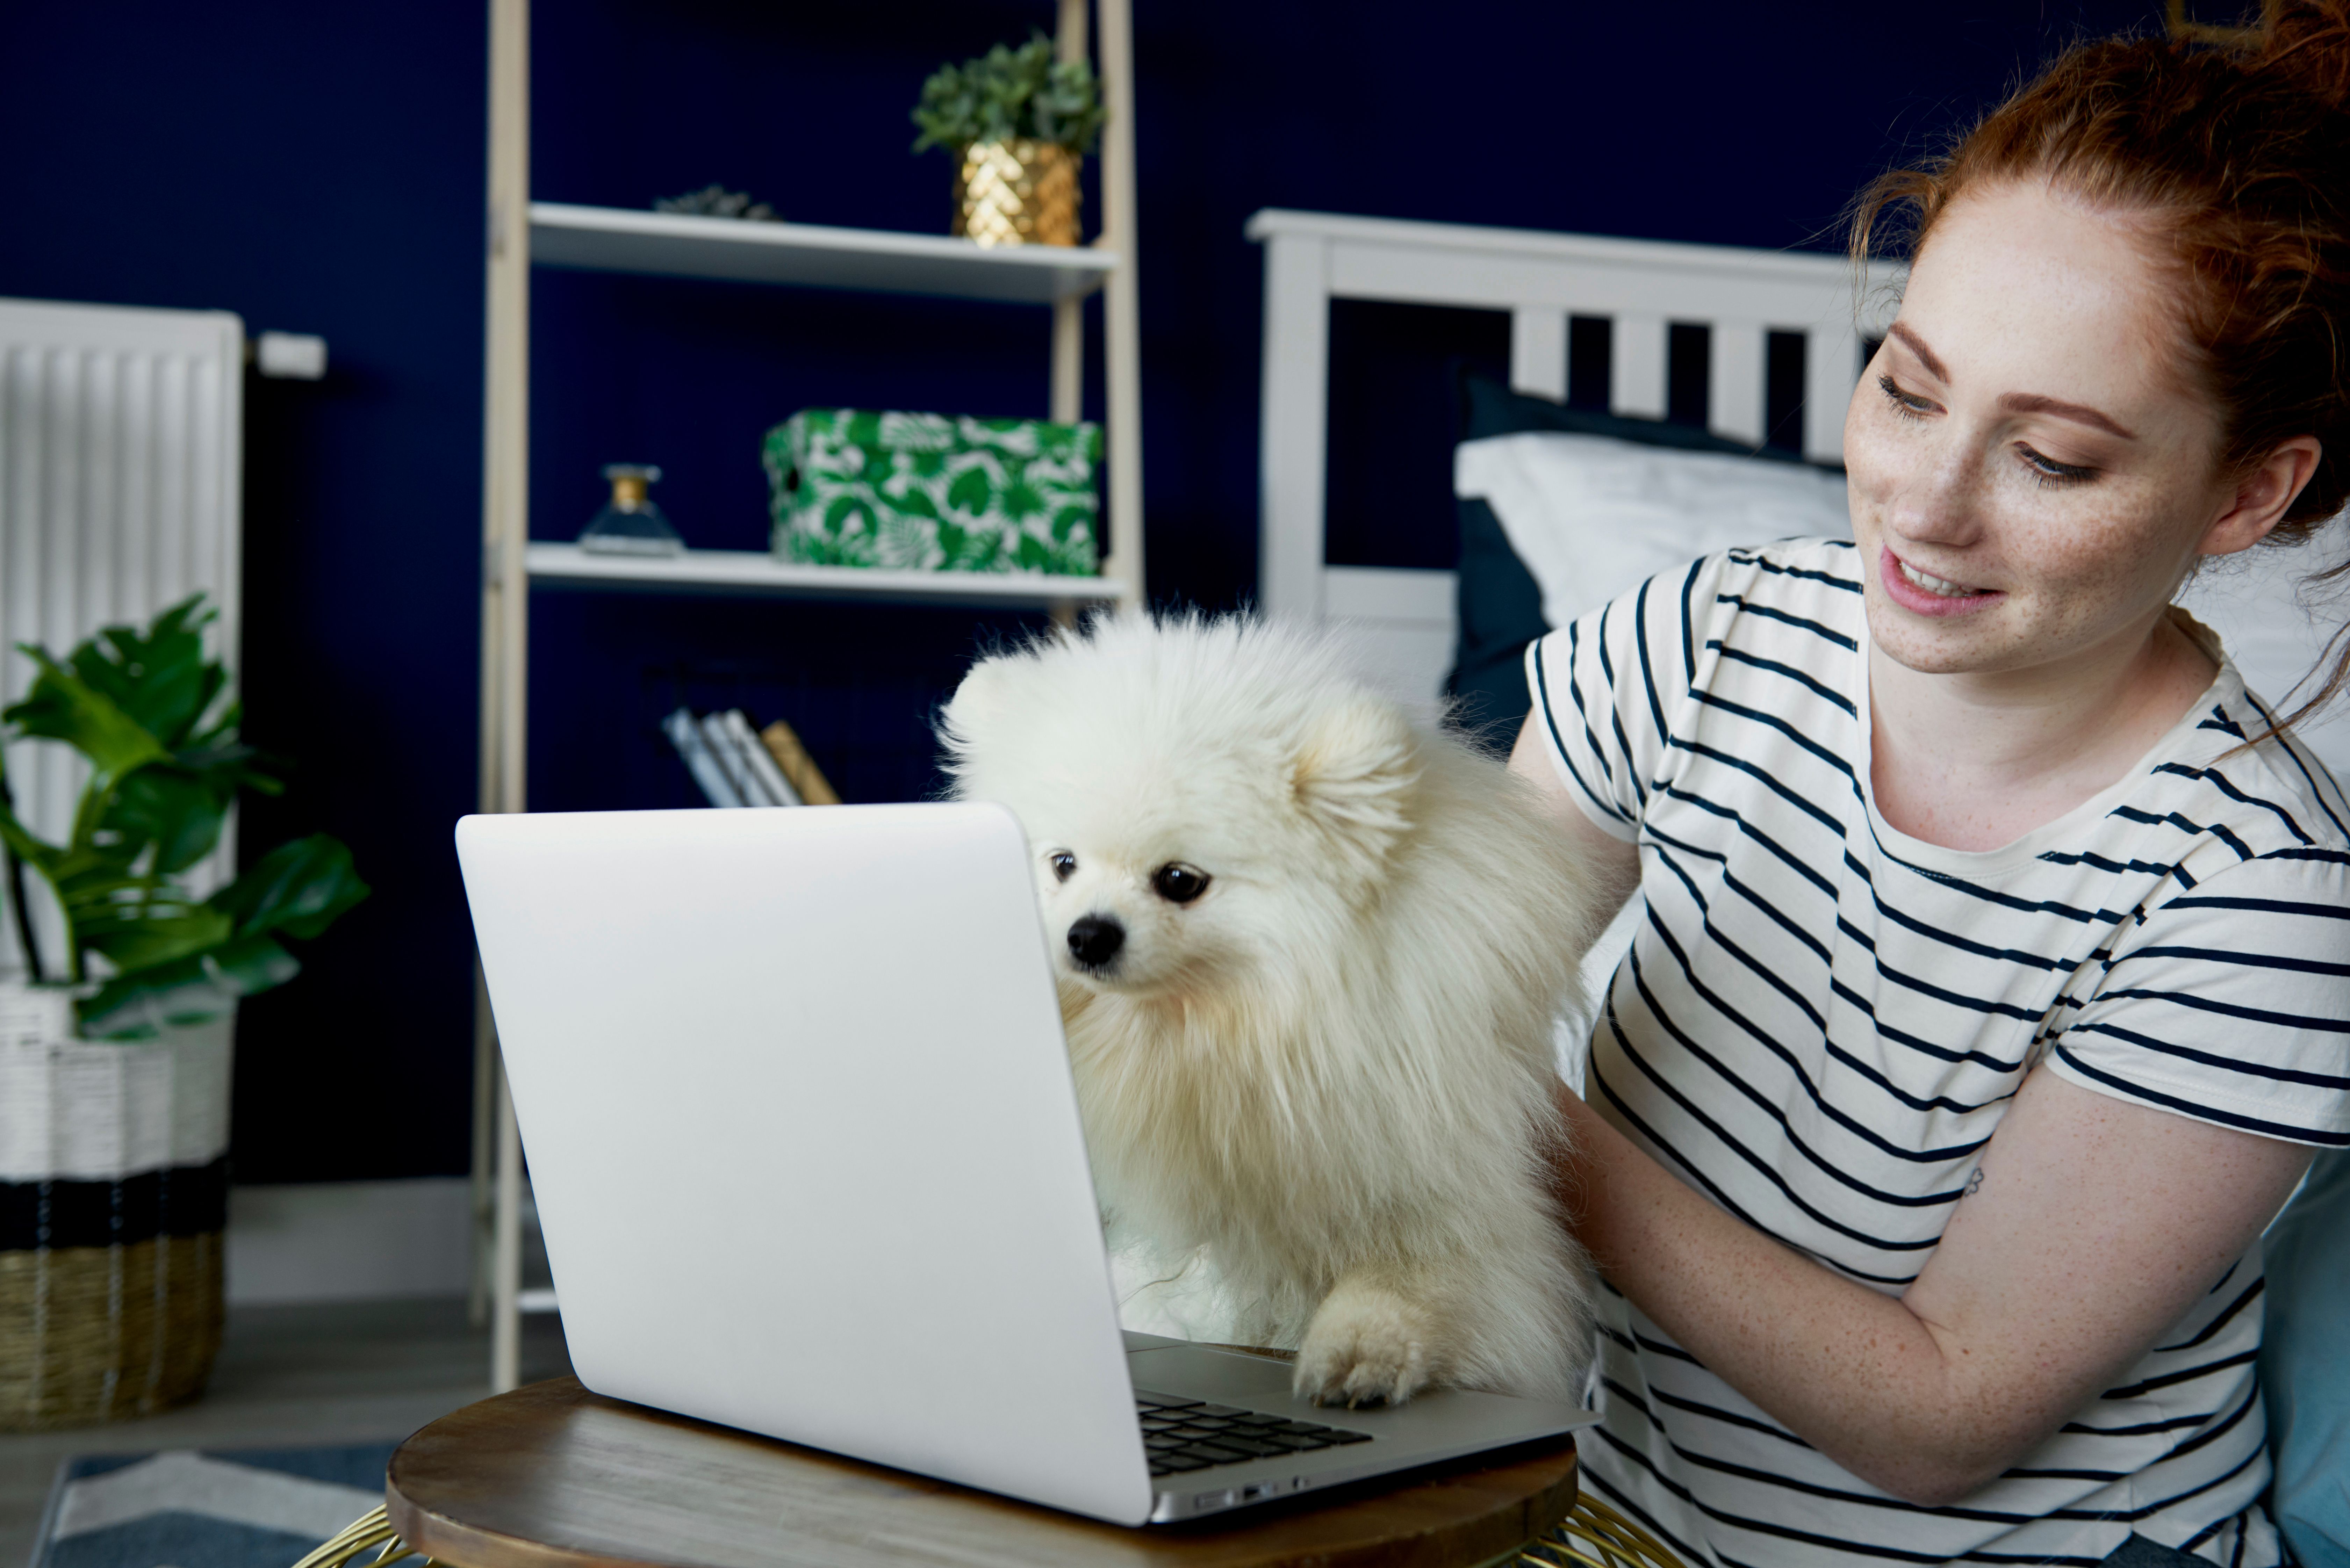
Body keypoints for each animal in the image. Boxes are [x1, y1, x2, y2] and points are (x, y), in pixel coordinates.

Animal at [935, 616, 1617, 1410]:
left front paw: (1356, 1356)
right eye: (1061, 863)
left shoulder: (1450, 1215)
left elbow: (1412, 1291)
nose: (1087, 934)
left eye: (1179, 880)